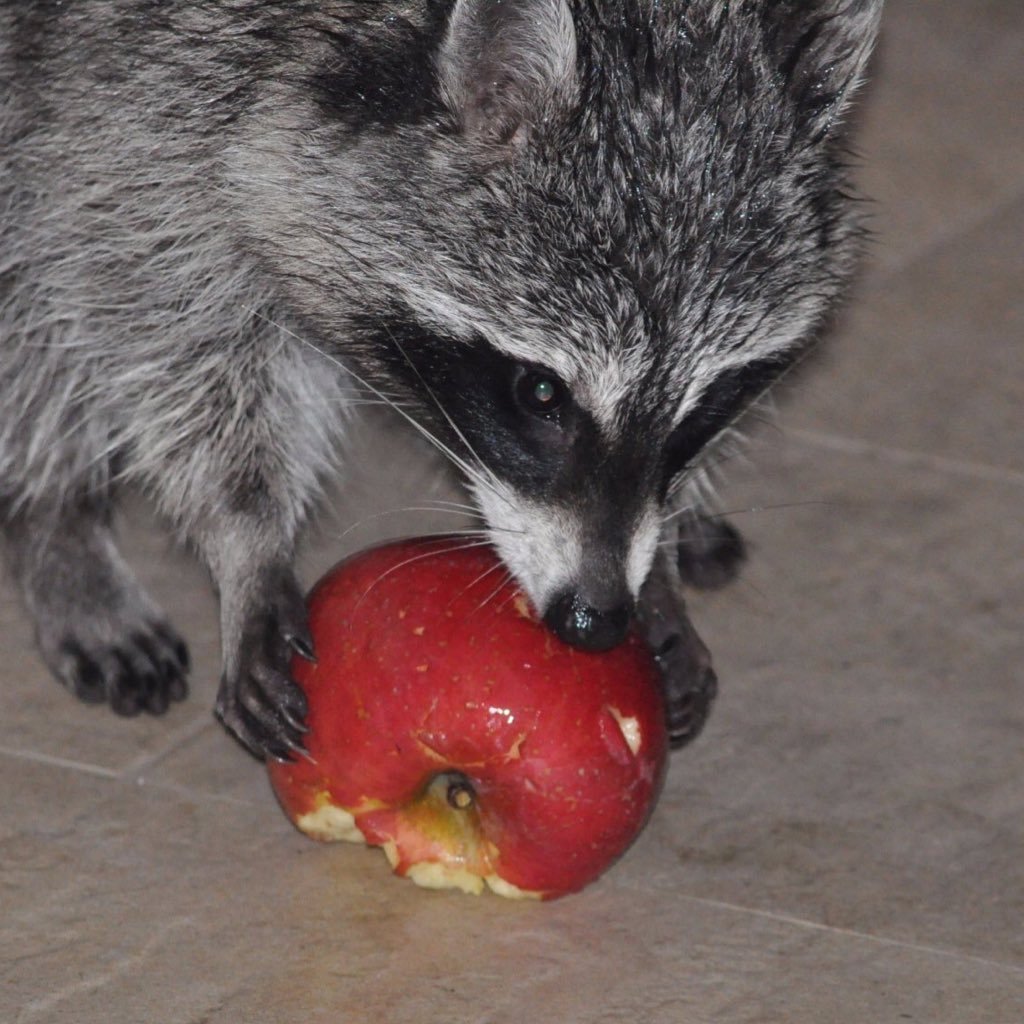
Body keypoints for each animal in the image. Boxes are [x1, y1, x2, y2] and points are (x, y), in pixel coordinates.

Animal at [0, 2, 880, 761]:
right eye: (540, 394)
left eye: (704, 408)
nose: (594, 619)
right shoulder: (153, 76)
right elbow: (163, 297)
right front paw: (245, 538)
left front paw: (661, 549)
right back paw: (57, 513)